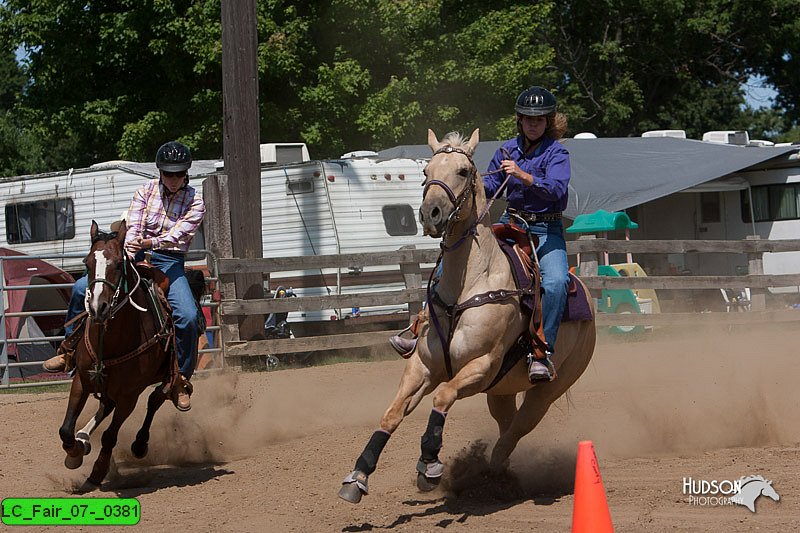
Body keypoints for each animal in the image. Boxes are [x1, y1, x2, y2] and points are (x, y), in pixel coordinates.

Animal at [58, 220, 178, 490]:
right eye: (87, 263)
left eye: (116, 265)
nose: (97, 308)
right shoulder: (81, 380)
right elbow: (66, 430)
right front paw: (74, 453)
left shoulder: (129, 396)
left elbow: (110, 436)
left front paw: (97, 472)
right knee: (105, 406)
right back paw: (84, 437)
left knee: (156, 398)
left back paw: (140, 444)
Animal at [338, 129, 592, 502]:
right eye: (426, 171)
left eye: (462, 170)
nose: (431, 213)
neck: (468, 285)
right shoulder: (423, 366)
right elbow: (391, 414)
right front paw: (358, 476)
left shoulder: (481, 367)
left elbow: (443, 396)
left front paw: (429, 464)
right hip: (501, 392)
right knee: (507, 424)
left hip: (549, 389)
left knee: (516, 430)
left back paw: (493, 472)